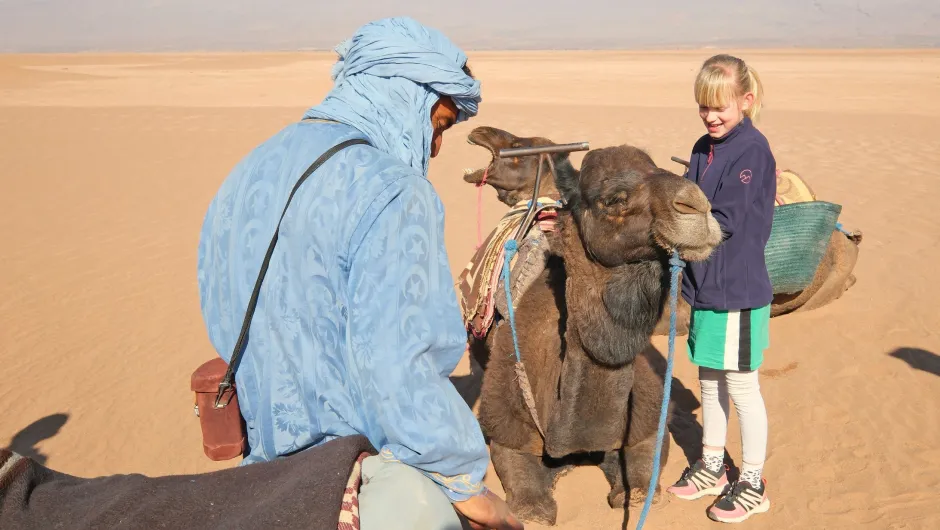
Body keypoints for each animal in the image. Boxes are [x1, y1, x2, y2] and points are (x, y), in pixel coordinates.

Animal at [474, 141, 724, 524]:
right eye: (613, 198)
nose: (698, 207)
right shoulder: (506, 430)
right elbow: (530, 504)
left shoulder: (646, 426)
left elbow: (642, 485)